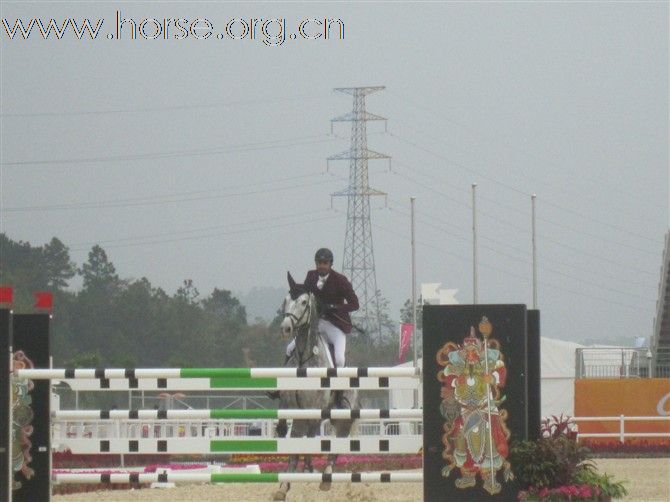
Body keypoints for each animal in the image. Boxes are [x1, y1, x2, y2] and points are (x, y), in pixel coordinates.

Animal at [272, 272, 360, 500]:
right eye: (285, 300)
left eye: (304, 302)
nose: (286, 329)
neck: (305, 358)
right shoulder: (289, 406)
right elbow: (288, 433)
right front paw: (284, 485)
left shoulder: (312, 410)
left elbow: (306, 438)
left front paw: (301, 473)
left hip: (342, 415)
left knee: (336, 441)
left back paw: (325, 478)